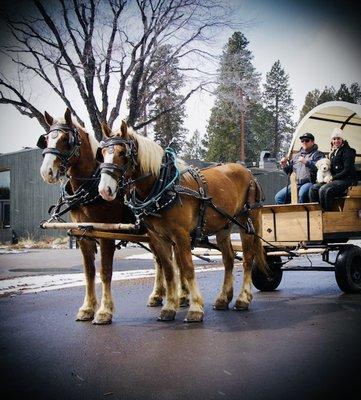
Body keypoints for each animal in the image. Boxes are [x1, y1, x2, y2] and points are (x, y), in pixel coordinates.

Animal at [38, 108, 180, 324]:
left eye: (65, 139)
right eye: (46, 139)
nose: (47, 172)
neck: (90, 187)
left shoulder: (106, 234)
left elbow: (105, 272)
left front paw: (104, 311)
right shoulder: (84, 235)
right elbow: (89, 272)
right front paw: (87, 308)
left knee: (168, 260)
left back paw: (182, 297)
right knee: (160, 260)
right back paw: (158, 296)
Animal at [97, 119, 266, 322]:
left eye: (122, 153)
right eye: (102, 153)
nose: (104, 190)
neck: (163, 187)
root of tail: (247, 171)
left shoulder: (181, 235)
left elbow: (187, 268)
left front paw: (195, 308)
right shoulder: (158, 237)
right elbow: (169, 271)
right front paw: (169, 307)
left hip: (247, 221)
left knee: (248, 258)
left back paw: (243, 299)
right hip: (223, 227)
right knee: (229, 259)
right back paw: (223, 298)